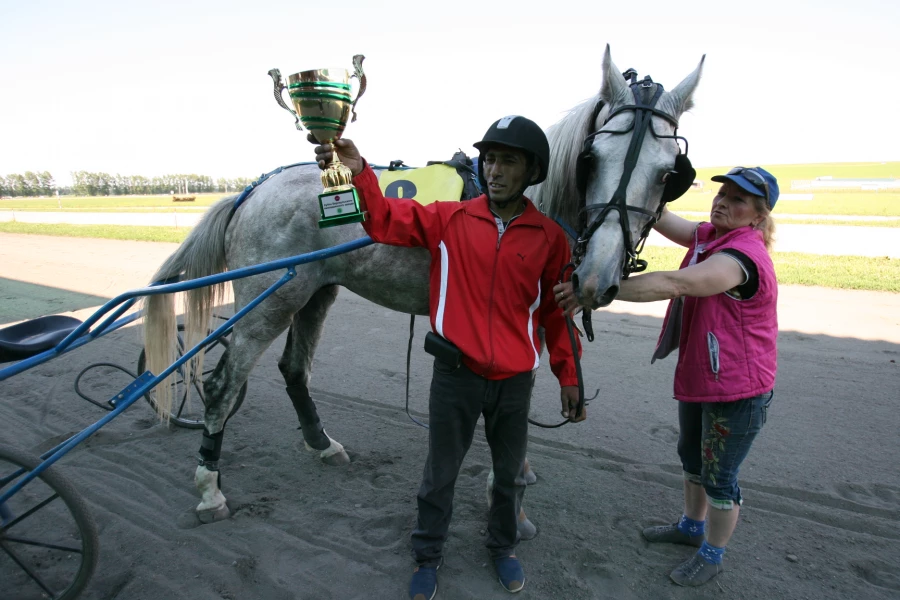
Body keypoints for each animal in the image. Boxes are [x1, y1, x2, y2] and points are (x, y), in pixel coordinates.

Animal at [144, 47, 704, 524]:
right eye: (592, 159)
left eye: (669, 173)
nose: (598, 276)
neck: (527, 205)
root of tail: (253, 190)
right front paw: (505, 485)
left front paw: (519, 469)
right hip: (270, 300)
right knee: (222, 383)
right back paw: (210, 487)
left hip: (314, 292)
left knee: (294, 369)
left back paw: (321, 444)